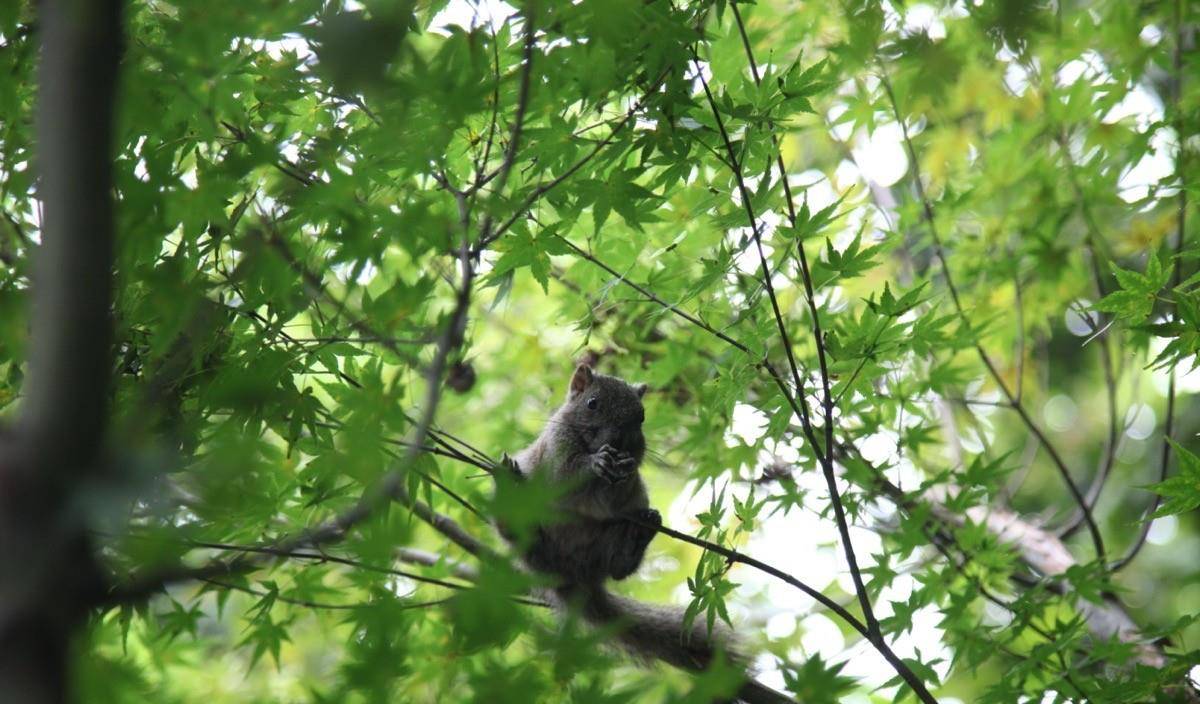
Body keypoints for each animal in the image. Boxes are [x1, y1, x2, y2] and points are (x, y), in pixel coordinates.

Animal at [499, 364, 792, 704]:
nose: (619, 440)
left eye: (641, 416)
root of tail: (576, 577)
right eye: (592, 404)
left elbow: (617, 496)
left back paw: (636, 537)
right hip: (531, 540)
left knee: (619, 568)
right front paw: (597, 462)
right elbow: (567, 474)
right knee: (517, 532)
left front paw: (623, 468)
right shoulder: (555, 452)